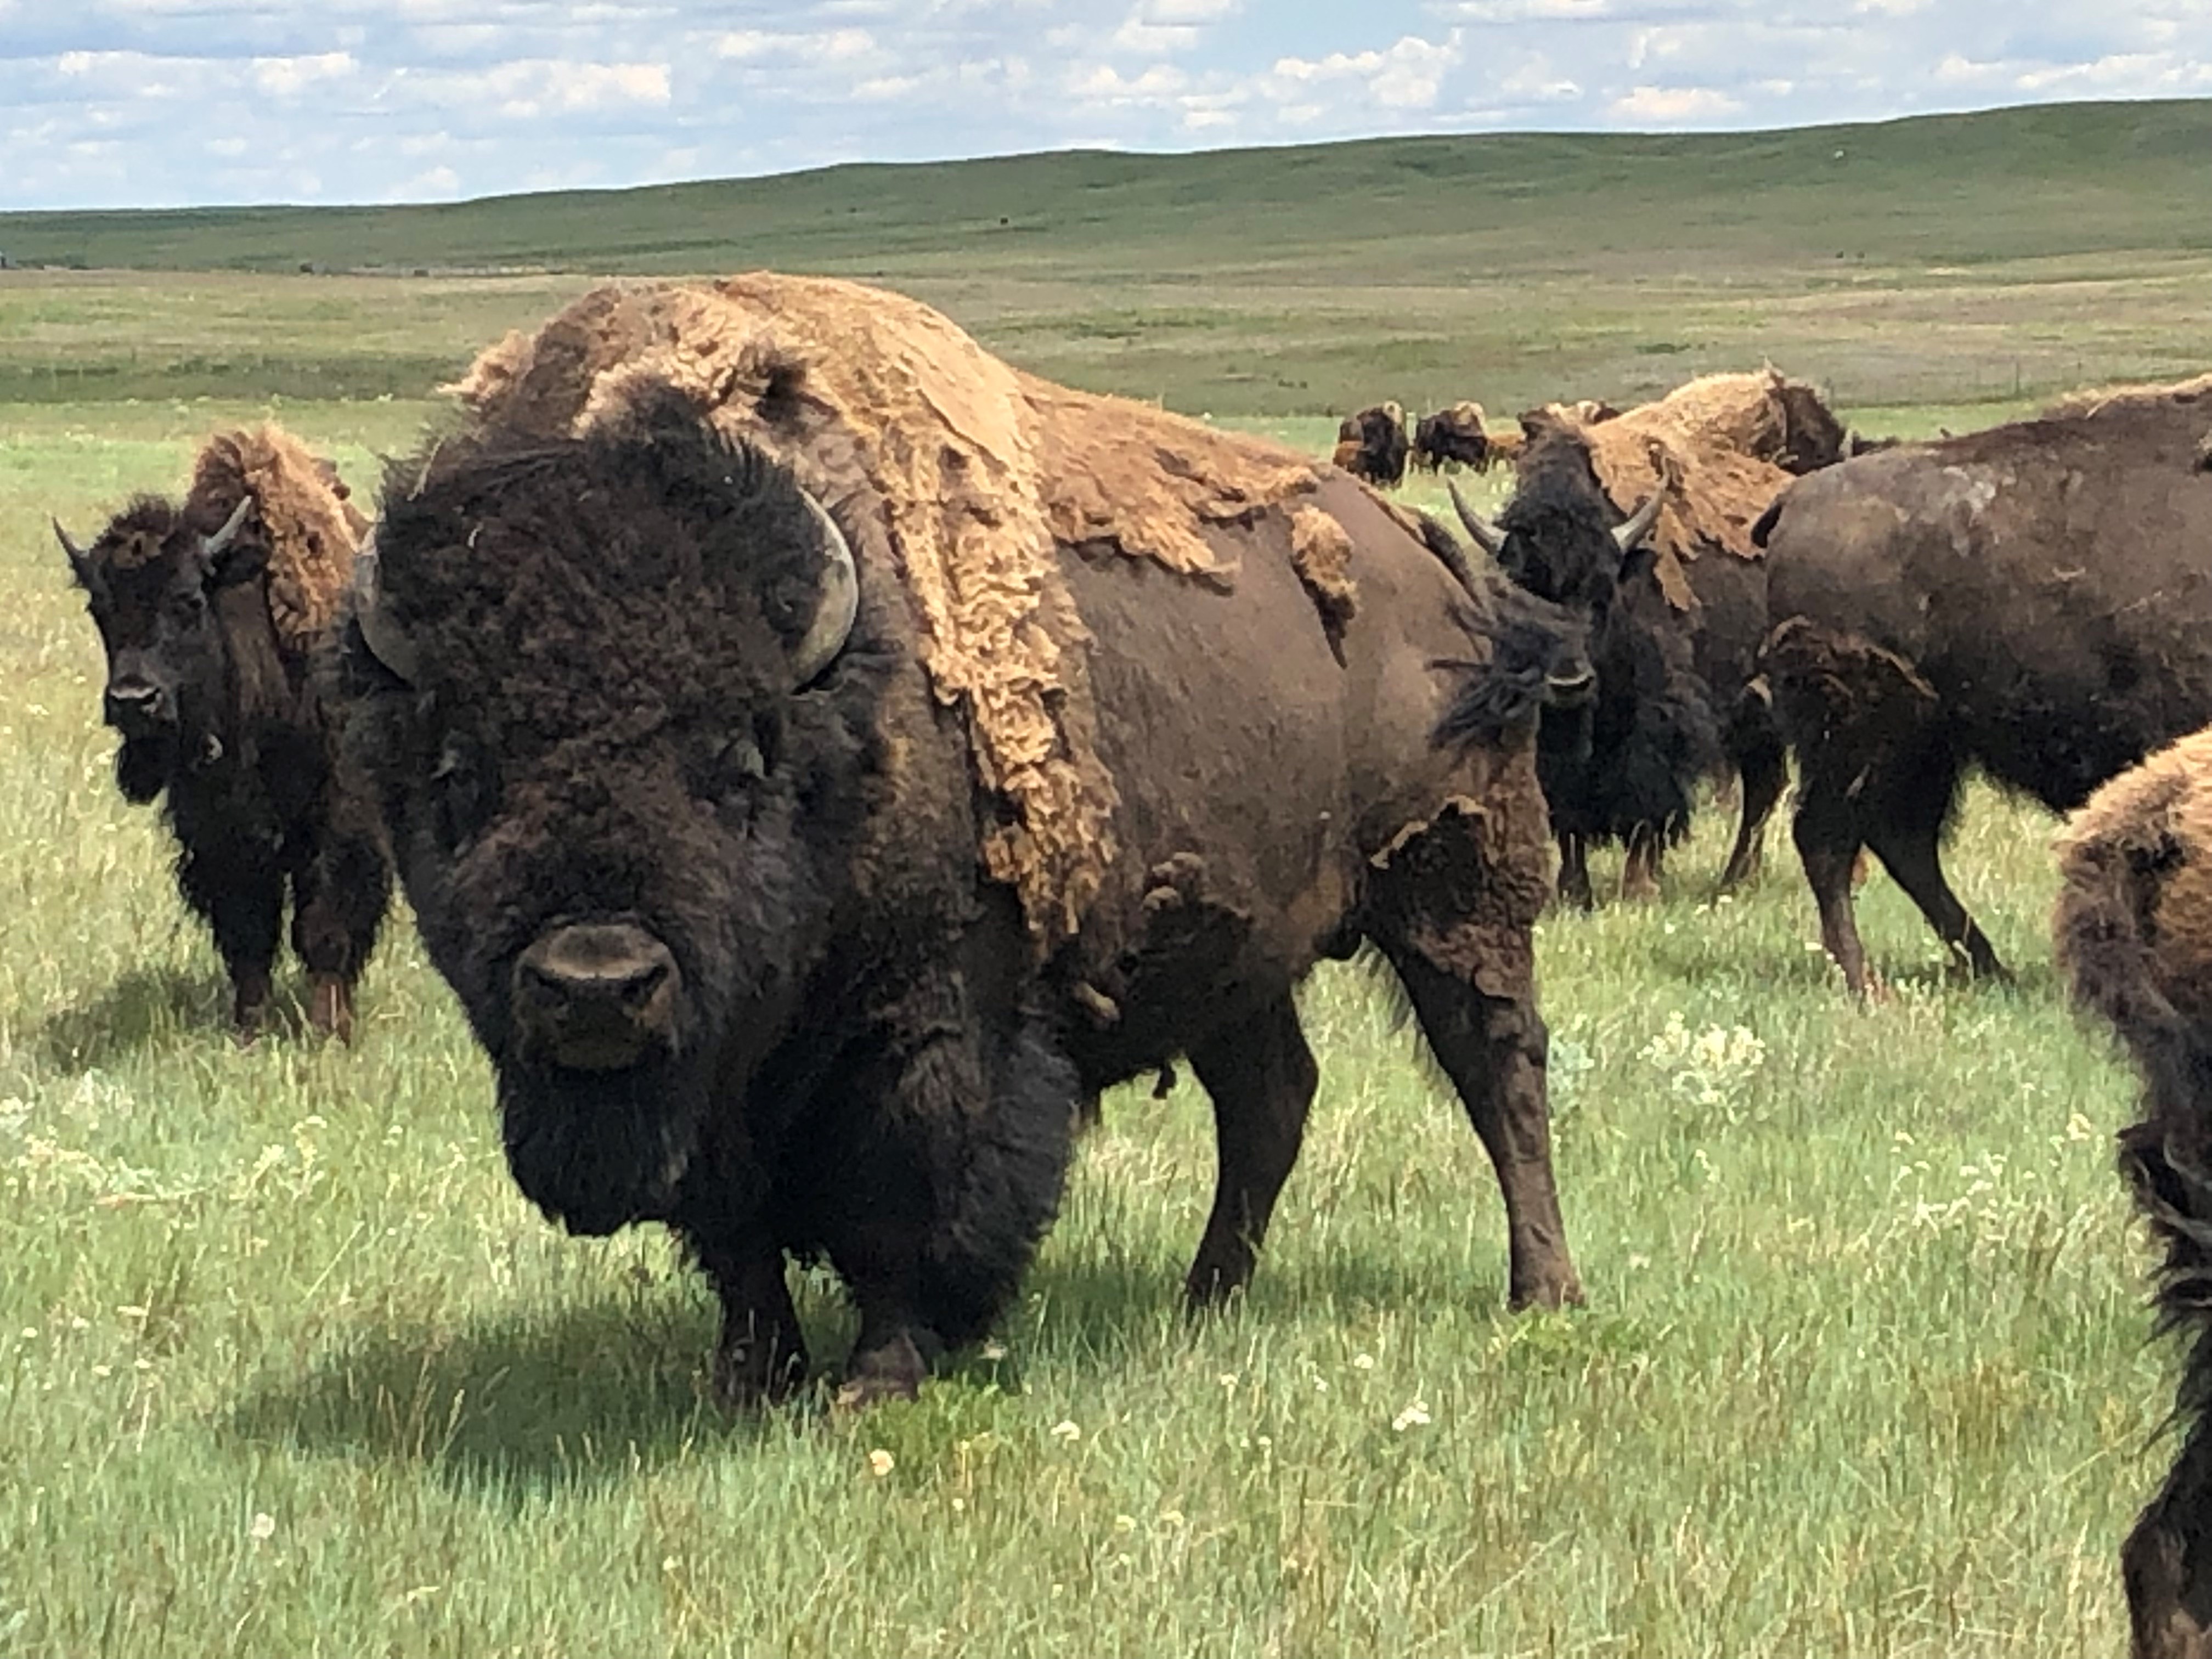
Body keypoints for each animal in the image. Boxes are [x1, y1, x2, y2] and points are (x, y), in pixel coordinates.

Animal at [55, 425, 393, 1040]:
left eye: (188, 601)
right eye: (99, 608)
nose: (133, 701)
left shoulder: (342, 815)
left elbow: (327, 922)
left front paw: (328, 1031)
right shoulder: (219, 827)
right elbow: (246, 928)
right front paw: (249, 1029)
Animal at [336, 276, 1593, 1415]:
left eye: (737, 756)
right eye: (458, 769)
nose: (594, 984)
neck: (841, 704)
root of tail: (1435, 566)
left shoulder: (933, 1016)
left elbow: (904, 1190)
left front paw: (877, 1381)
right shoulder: (719, 1068)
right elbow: (732, 1225)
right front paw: (751, 1378)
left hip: (1455, 892)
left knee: (1498, 1071)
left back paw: (1542, 1292)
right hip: (1241, 945)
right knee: (1269, 1101)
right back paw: (1206, 1300)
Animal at [1760, 376, 2212, 995]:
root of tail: (1796, 498)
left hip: (1925, 746)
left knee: (1900, 841)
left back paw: (1988, 967)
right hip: (1861, 735)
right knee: (1829, 838)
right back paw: (1869, 984)